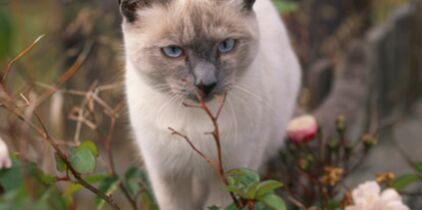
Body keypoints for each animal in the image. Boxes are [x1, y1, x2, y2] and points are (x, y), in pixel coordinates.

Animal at [120, 0, 302, 209]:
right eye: (173, 51)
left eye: (225, 46)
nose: (205, 84)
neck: (196, 120)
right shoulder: (169, 175)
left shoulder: (227, 176)